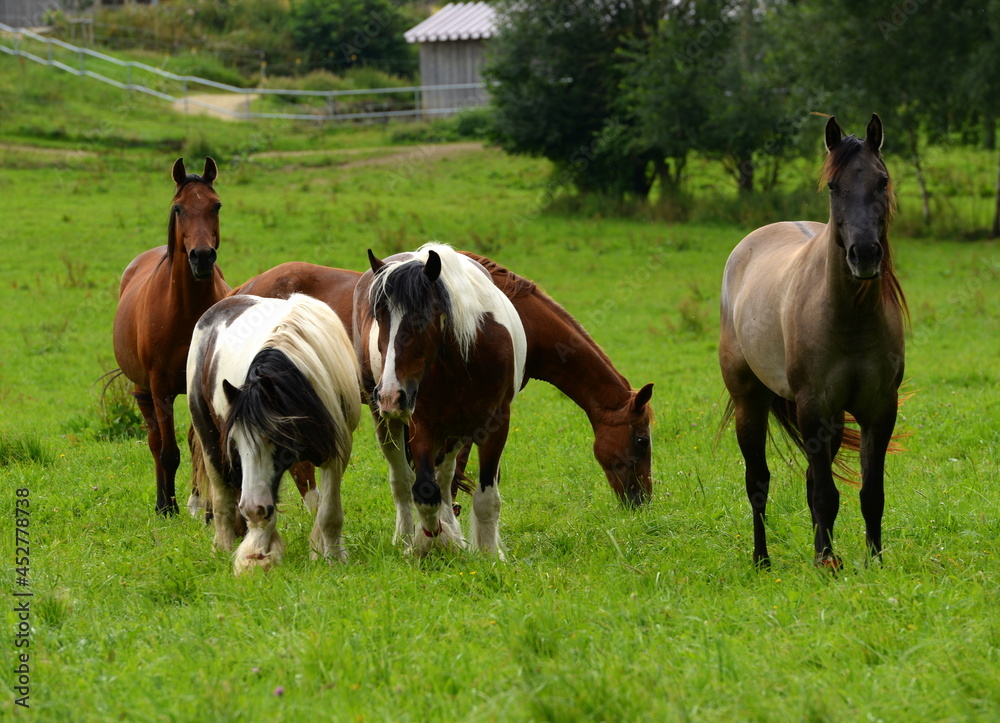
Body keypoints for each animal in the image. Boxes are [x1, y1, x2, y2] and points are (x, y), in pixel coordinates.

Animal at [113, 160, 229, 516]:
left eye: (216, 205)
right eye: (179, 208)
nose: (202, 257)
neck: (185, 310)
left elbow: (202, 447)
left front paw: (207, 508)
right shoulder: (160, 388)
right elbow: (167, 453)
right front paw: (169, 508)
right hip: (142, 391)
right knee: (155, 443)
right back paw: (163, 500)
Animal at [186, 292, 362, 576]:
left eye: (274, 438)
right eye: (235, 444)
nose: (251, 508)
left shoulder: (338, 449)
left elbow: (328, 511)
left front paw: (331, 556)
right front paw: (256, 556)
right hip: (207, 435)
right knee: (223, 498)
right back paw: (223, 547)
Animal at [354, 246, 528, 556]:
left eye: (422, 317)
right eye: (378, 316)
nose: (390, 395)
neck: (460, 362)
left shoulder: (495, 424)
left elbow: (486, 497)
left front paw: (488, 552)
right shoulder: (420, 425)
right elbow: (424, 491)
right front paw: (432, 542)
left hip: (455, 431)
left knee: (446, 477)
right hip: (389, 423)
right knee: (403, 481)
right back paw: (406, 536)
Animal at [720, 116, 908, 572]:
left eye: (882, 181)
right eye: (833, 187)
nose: (864, 254)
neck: (848, 318)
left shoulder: (879, 409)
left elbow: (869, 494)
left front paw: (872, 561)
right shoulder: (812, 407)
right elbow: (824, 494)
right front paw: (827, 562)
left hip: (834, 421)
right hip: (751, 402)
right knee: (757, 481)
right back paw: (762, 560)